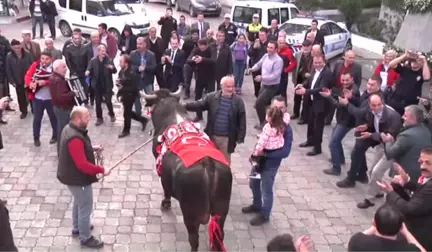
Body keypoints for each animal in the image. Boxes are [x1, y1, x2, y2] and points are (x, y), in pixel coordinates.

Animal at [141, 88, 233, 252]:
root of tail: (208, 164)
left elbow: (165, 189)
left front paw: (165, 203)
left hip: (191, 213)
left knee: (193, 239)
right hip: (221, 211)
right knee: (218, 236)